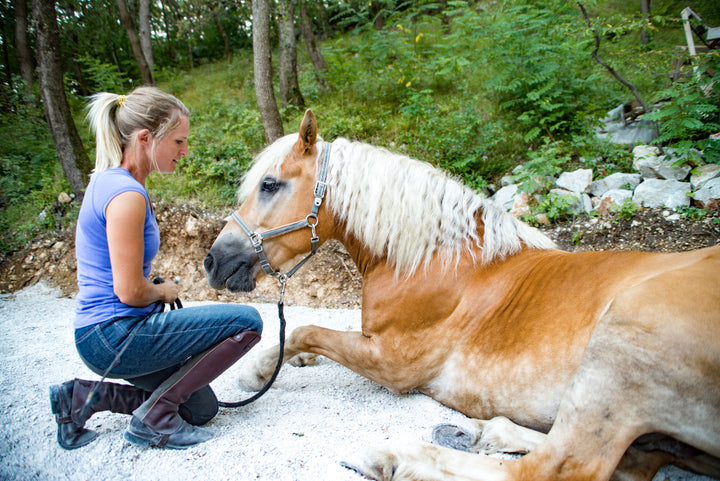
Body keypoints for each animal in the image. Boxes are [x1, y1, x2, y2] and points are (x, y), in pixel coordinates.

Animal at [204, 110, 720, 481]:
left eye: (270, 184)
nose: (213, 261)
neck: (439, 259)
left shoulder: (393, 364)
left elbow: (308, 329)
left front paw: (257, 370)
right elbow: (313, 335)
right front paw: (286, 362)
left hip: (618, 351)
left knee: (558, 468)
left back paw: (395, 457)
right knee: (634, 461)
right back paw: (486, 430)